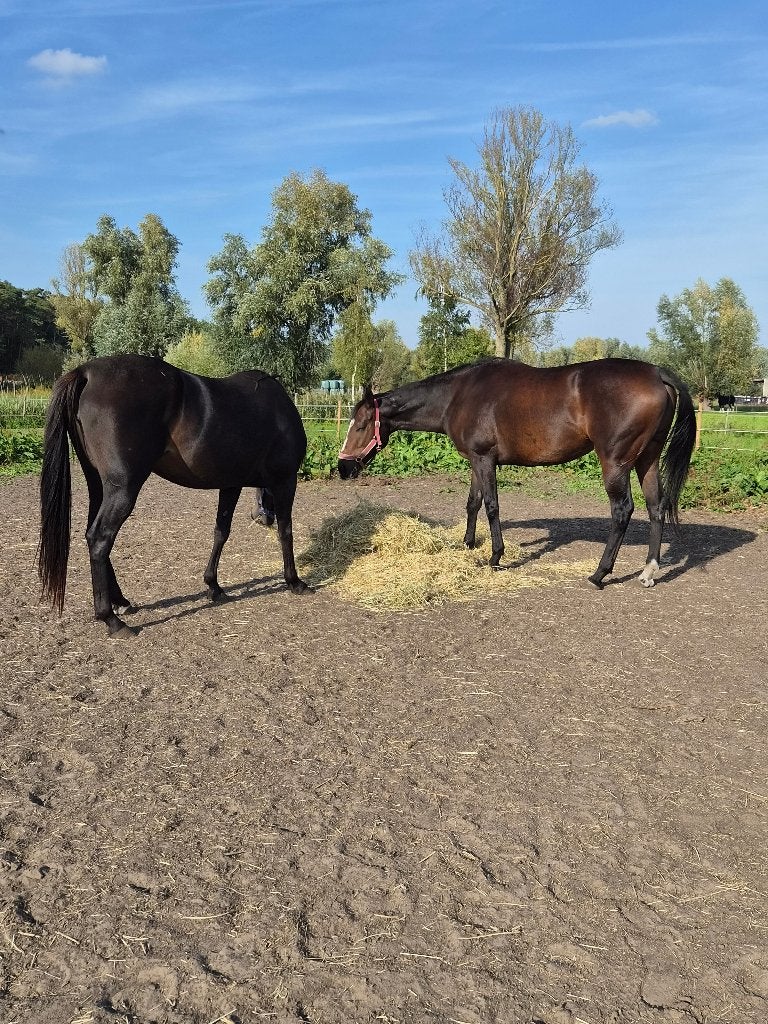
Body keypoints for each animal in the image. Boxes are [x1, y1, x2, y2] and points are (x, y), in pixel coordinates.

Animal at [38, 354, 308, 638]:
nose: (261, 516)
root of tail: (86, 371)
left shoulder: (230, 485)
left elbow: (221, 532)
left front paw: (214, 586)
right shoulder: (286, 481)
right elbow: (286, 531)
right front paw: (294, 581)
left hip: (99, 486)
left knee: (93, 535)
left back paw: (120, 601)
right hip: (123, 488)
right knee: (100, 538)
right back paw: (111, 619)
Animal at [338, 358, 696, 589]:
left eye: (360, 425)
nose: (343, 468)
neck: (459, 394)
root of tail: (657, 373)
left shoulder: (484, 460)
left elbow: (491, 506)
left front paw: (495, 557)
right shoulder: (476, 460)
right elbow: (473, 503)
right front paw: (468, 545)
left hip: (615, 462)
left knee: (622, 510)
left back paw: (599, 574)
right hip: (647, 459)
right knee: (656, 507)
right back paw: (648, 571)